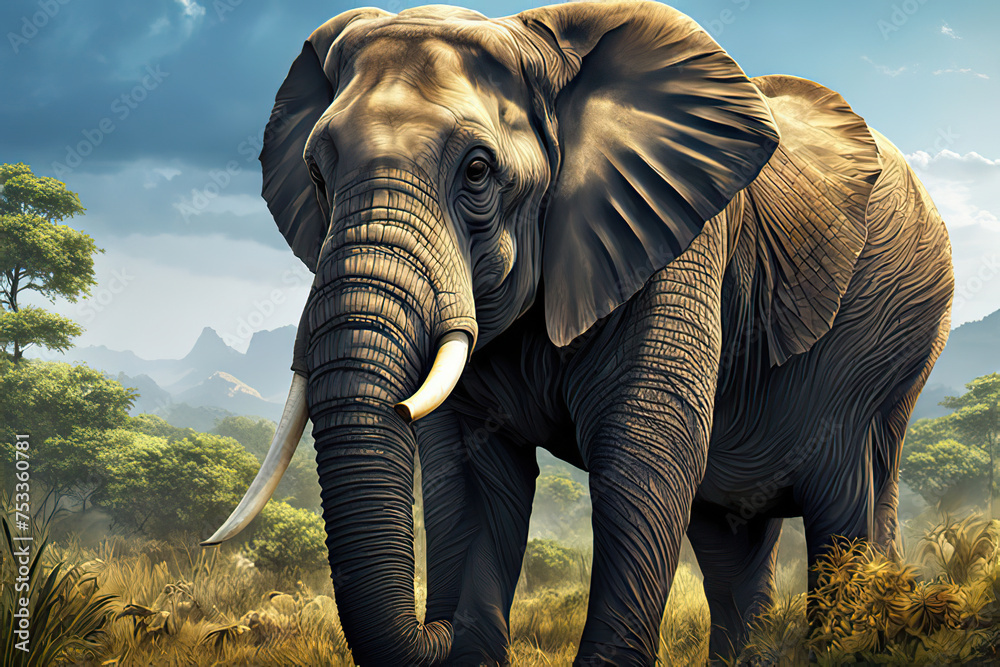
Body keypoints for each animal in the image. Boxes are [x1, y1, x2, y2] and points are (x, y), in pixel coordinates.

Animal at [203, 2, 954, 665]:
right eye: (315, 172)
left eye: (478, 171)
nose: (439, 623)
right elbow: (470, 477)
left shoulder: (674, 239)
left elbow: (641, 452)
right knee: (731, 541)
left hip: (890, 336)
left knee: (844, 507)